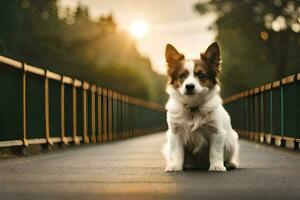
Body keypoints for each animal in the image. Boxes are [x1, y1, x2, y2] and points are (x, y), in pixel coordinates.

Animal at [162, 42, 239, 172]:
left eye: (201, 75)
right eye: (182, 76)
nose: (189, 86)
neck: (193, 107)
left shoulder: (216, 132)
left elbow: (215, 152)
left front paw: (217, 166)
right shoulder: (175, 133)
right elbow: (177, 152)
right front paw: (175, 166)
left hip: (231, 140)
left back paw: (229, 164)